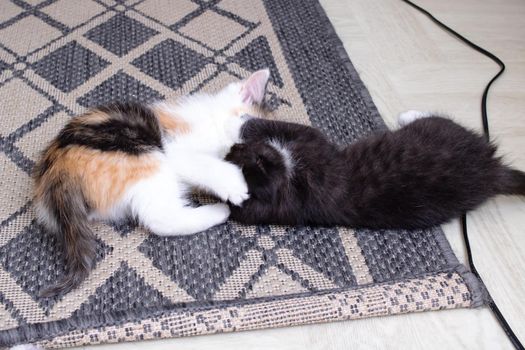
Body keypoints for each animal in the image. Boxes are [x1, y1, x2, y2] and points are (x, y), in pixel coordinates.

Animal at [33, 68, 270, 296]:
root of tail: (57, 170)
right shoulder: (175, 148)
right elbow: (202, 163)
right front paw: (234, 183)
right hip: (147, 155)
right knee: (159, 219)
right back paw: (220, 211)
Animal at [224, 110, 524, 228]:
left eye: (238, 150)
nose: (233, 146)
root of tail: (491, 169)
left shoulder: (313, 143)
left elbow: (285, 126)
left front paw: (240, 119)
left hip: (443, 130)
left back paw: (408, 114)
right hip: (443, 131)